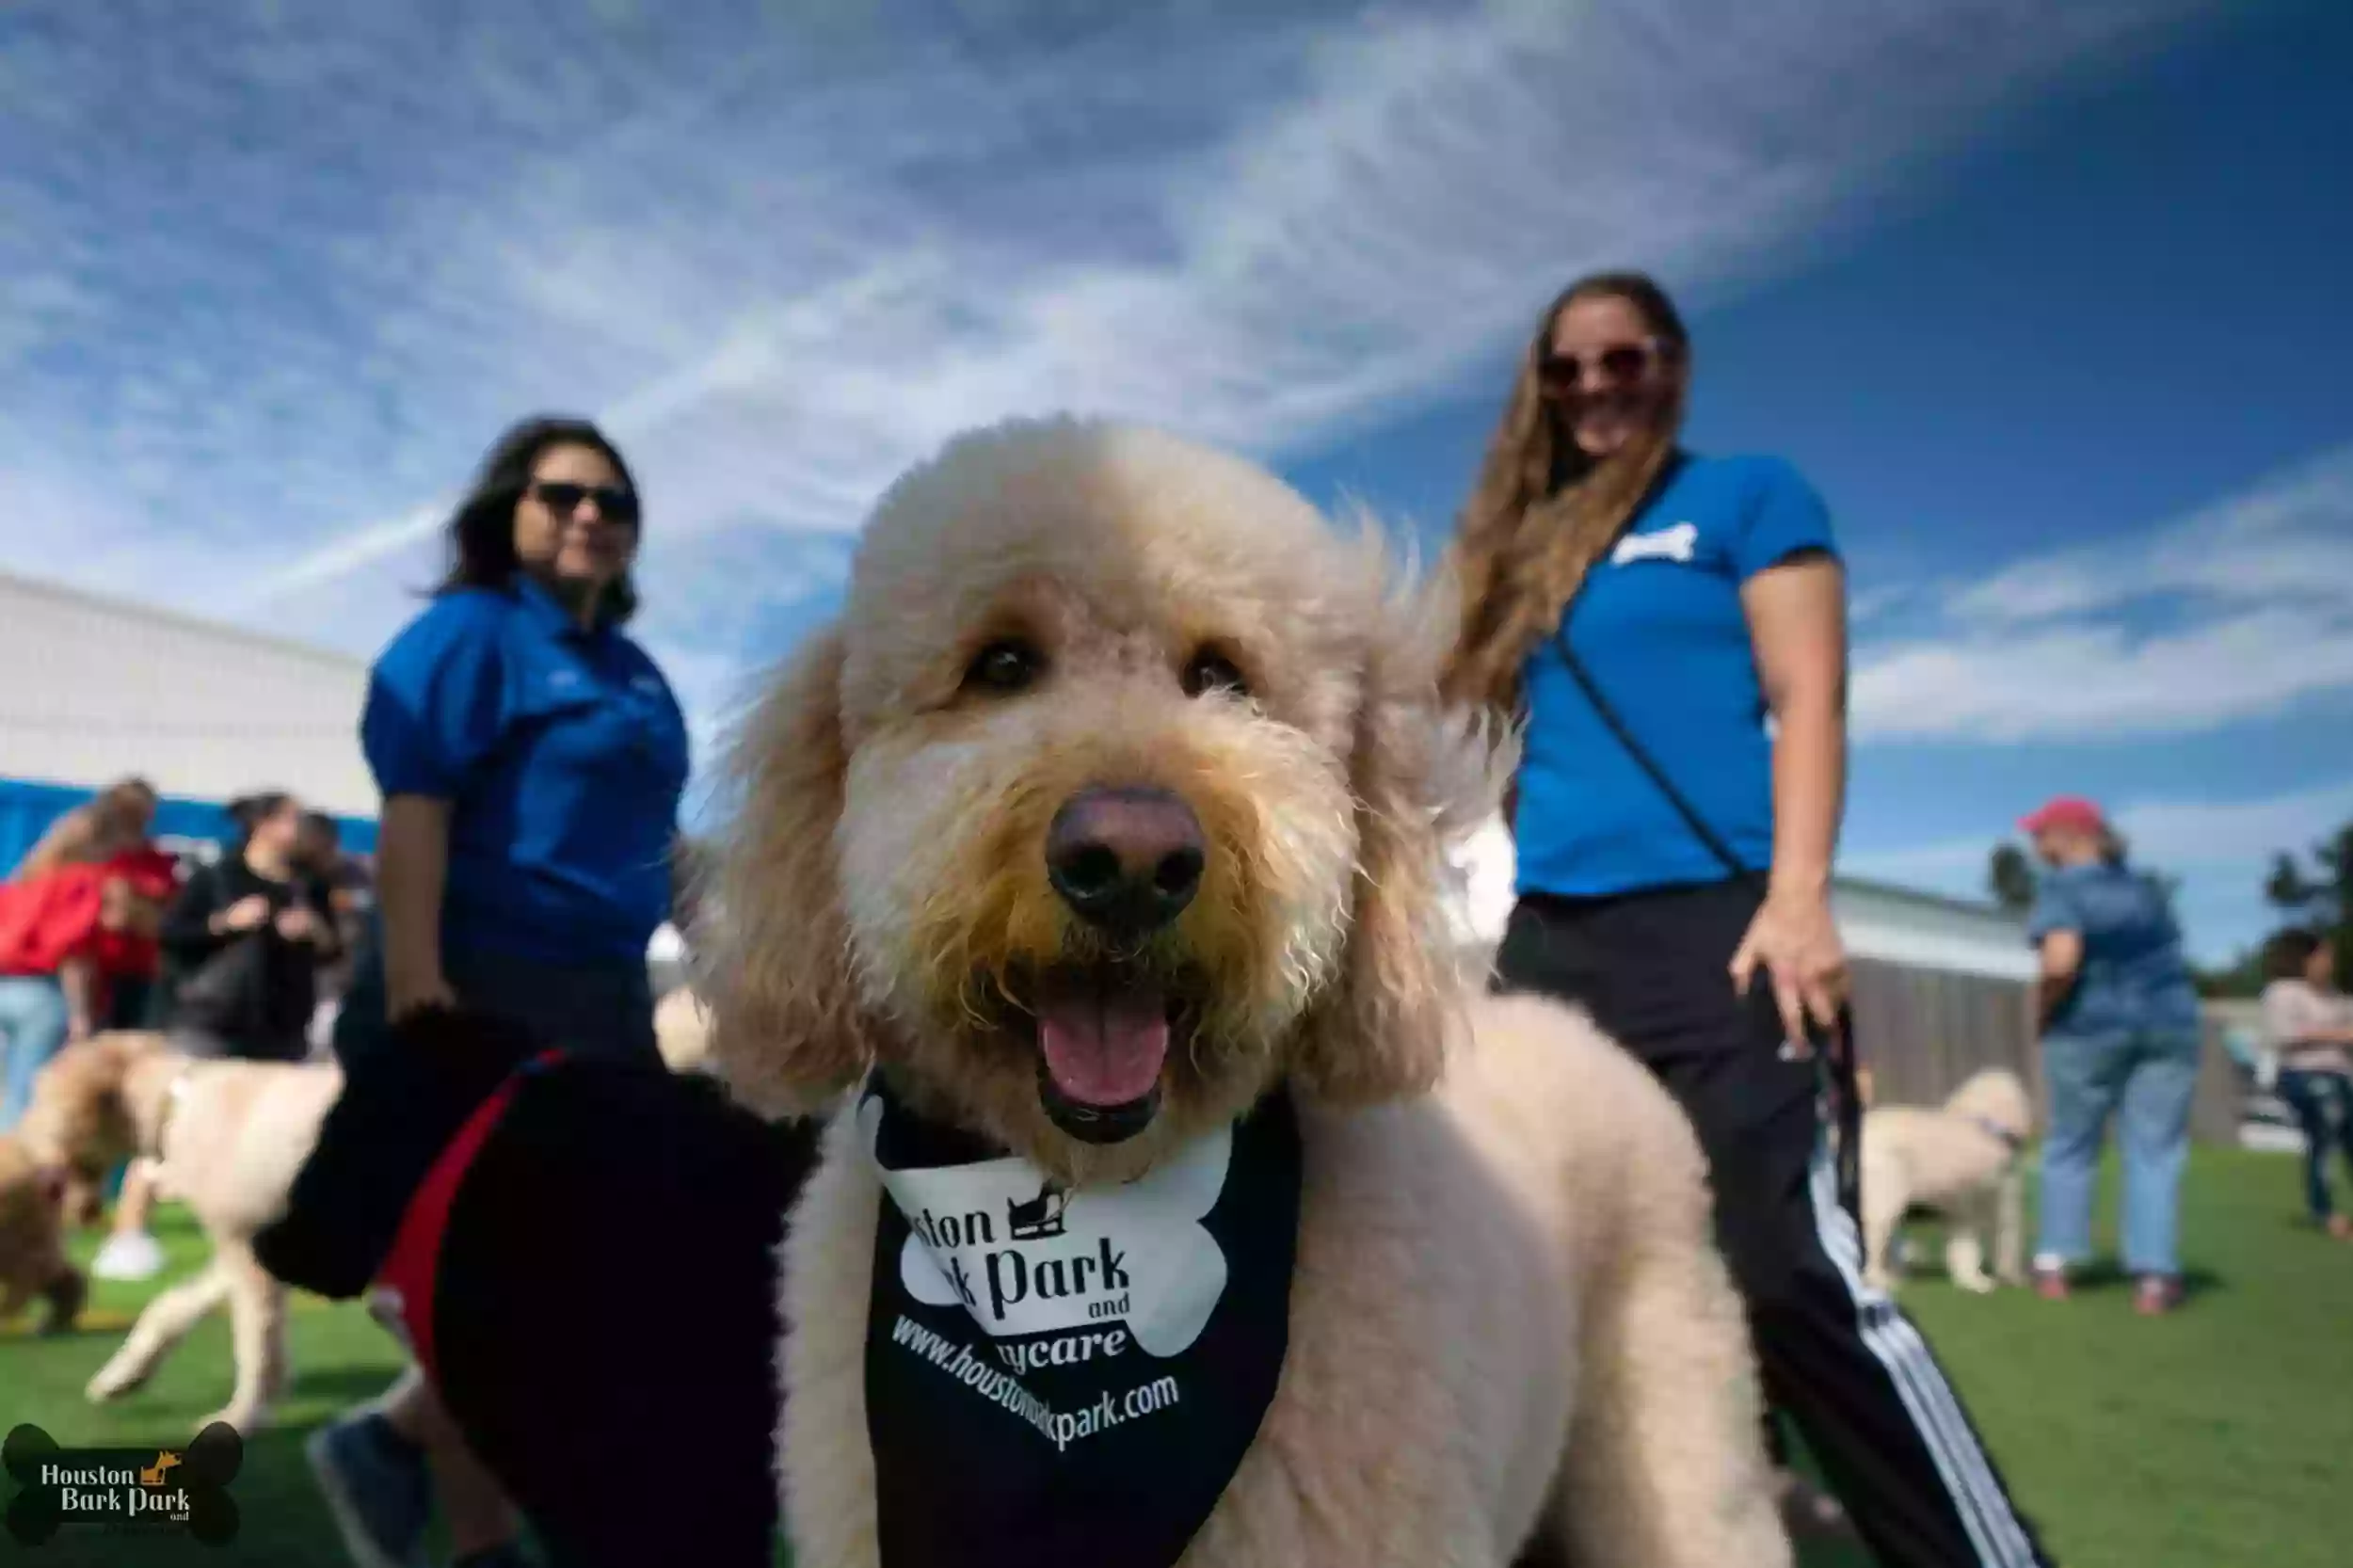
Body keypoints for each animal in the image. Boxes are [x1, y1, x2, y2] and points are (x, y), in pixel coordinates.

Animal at [17, 1031, 341, 1431]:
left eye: (40, 1098)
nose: (18, 1138)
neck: (175, 1107)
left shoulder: (247, 1255)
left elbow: (258, 1348)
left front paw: (241, 1417)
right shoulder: (250, 1247)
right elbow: (171, 1306)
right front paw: (124, 1376)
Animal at [1864, 1064, 2033, 1289]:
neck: (1986, 1126)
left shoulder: (1960, 1211)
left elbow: (1962, 1246)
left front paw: (1968, 1280)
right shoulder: (1988, 1201)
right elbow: (1997, 1240)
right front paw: (1985, 1282)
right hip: (1883, 1202)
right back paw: (1879, 1280)